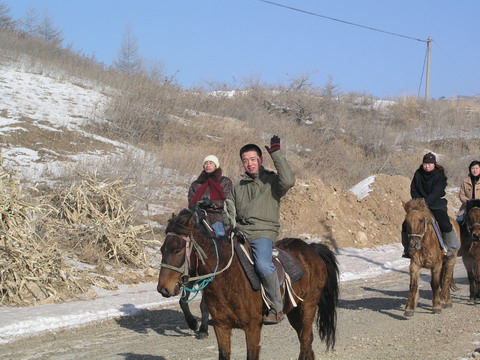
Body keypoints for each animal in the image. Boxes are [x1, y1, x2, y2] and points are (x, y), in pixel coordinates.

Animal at [157, 210, 338, 358]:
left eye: (177, 250)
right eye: (162, 249)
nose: (163, 288)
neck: (228, 279)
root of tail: (312, 250)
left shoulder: (252, 327)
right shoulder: (221, 325)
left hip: (308, 306)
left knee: (306, 341)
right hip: (294, 311)